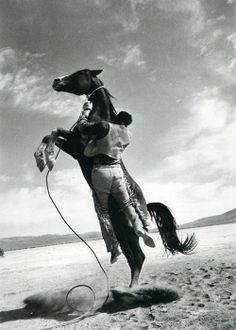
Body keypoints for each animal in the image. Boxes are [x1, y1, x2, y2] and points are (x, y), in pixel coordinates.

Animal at [51, 68, 195, 288]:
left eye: (79, 74)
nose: (56, 81)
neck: (101, 119)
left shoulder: (76, 149)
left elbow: (58, 132)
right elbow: (58, 133)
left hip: (128, 233)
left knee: (138, 258)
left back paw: (131, 289)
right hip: (121, 232)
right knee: (134, 258)